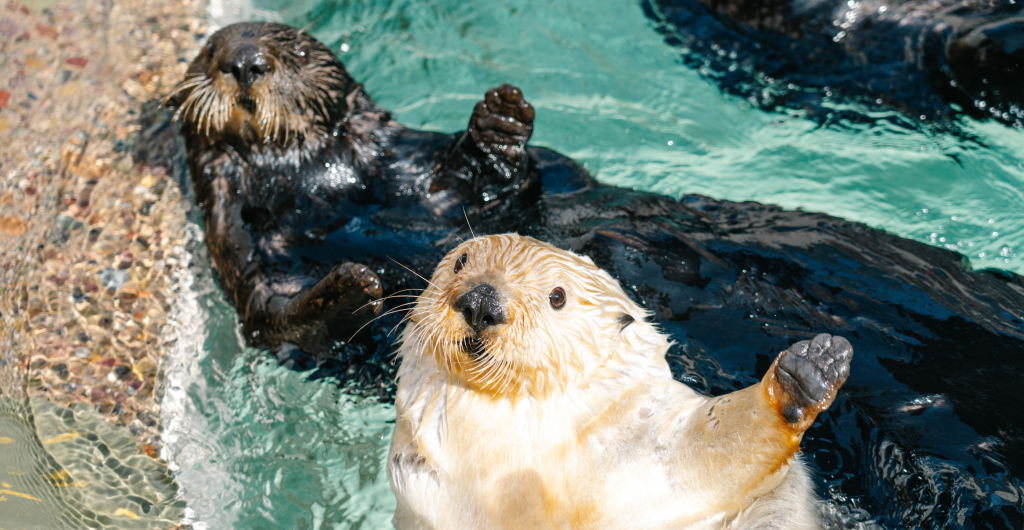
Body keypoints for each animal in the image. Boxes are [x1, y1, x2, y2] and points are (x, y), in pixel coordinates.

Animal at [388, 234, 852, 529]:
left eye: (557, 297)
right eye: (461, 261)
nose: (481, 301)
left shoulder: (649, 460)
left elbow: (712, 451)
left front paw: (810, 370)